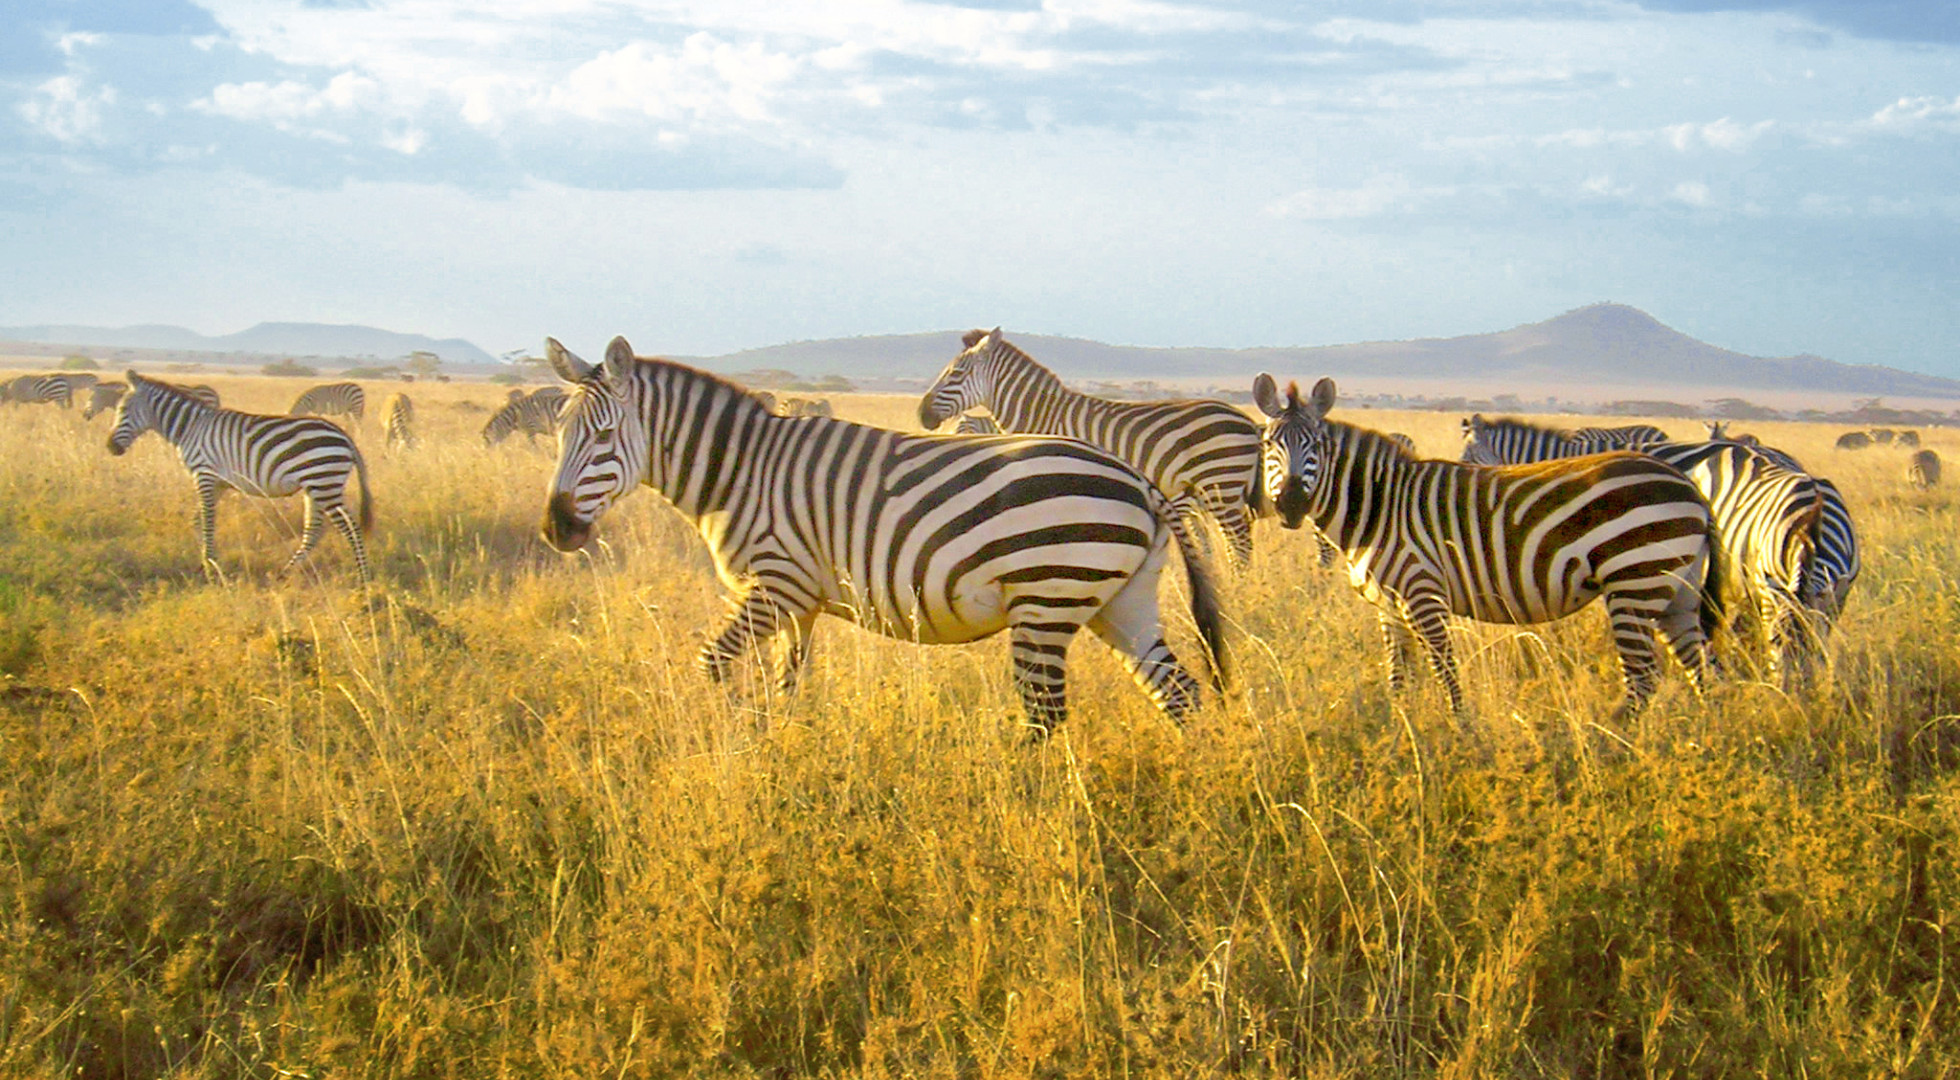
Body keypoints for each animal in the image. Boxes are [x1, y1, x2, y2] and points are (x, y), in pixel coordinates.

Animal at [107, 371, 374, 581]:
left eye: (122, 409)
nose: (111, 447)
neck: (189, 428)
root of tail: (344, 435)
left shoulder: (204, 474)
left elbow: (207, 520)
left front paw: (211, 568)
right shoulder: (217, 483)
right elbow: (197, 519)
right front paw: (205, 560)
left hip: (324, 483)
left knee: (350, 527)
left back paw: (363, 578)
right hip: (316, 487)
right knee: (314, 532)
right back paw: (285, 572)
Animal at [541, 336, 1227, 734]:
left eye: (603, 436)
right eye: (558, 431)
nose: (556, 529)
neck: (739, 471)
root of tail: (1141, 482)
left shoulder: (775, 586)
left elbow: (710, 665)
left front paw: (722, 747)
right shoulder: (798, 604)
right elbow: (784, 689)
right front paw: (778, 755)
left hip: (1047, 601)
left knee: (1047, 717)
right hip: (1120, 603)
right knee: (1180, 694)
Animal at [920, 329, 1263, 569]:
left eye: (956, 373)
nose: (921, 414)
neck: (1041, 416)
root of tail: (1246, 419)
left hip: (1221, 485)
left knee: (1241, 543)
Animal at [1258, 375, 1715, 721]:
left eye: (1317, 445)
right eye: (1266, 444)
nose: (1291, 504)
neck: (1379, 505)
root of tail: (1687, 484)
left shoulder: (1422, 593)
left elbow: (1445, 671)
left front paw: (1460, 733)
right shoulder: (1387, 606)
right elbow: (1397, 678)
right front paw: (1402, 731)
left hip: (1635, 583)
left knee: (1644, 679)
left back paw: (1610, 742)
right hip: (1676, 591)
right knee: (1704, 672)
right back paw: (1708, 742)